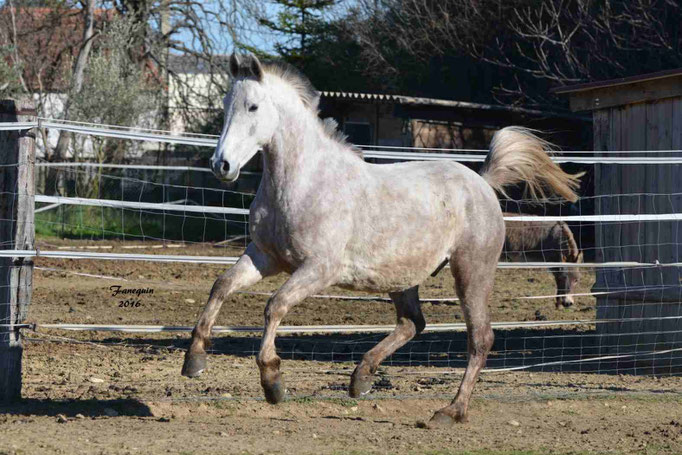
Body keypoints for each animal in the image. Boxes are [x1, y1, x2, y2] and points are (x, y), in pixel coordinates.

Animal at [181, 54, 580, 428]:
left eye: (253, 106)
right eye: (225, 105)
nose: (222, 165)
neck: (304, 181)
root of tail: (481, 182)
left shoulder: (318, 269)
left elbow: (274, 306)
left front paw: (273, 383)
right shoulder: (265, 256)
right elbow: (221, 285)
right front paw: (195, 360)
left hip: (471, 271)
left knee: (480, 338)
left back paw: (449, 411)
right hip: (402, 277)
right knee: (413, 323)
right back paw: (361, 379)